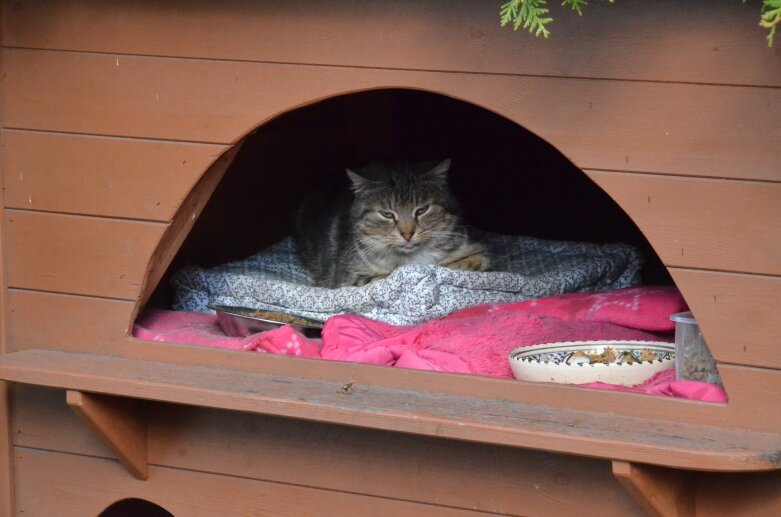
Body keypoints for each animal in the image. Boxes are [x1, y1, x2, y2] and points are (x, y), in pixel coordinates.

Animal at [292, 158, 488, 286]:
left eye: (422, 210)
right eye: (386, 214)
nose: (408, 234)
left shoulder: (476, 249)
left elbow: (473, 260)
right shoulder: (351, 278)